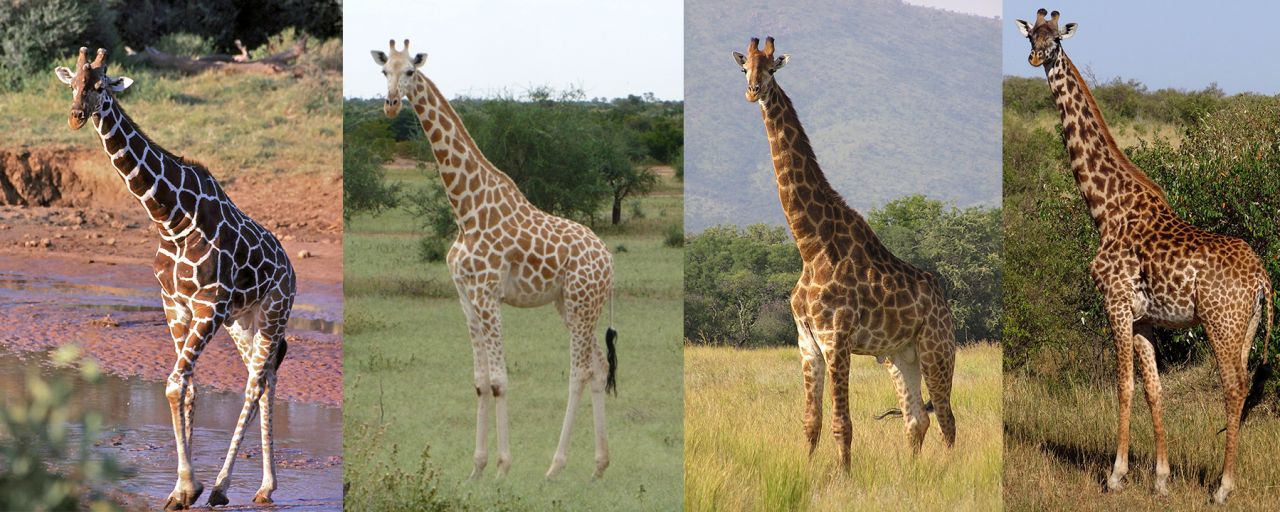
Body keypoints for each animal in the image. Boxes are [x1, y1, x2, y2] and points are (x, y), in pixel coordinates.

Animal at [54, 48, 296, 510]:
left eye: (101, 86)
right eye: (72, 83)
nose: (76, 116)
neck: (171, 219)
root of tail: (290, 268)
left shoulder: (209, 307)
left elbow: (172, 384)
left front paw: (188, 488)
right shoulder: (176, 305)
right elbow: (187, 388)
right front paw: (182, 488)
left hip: (273, 312)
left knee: (254, 384)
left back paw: (222, 487)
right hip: (244, 322)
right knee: (267, 378)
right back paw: (264, 487)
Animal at [371, 40, 618, 479]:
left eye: (411, 72)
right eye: (385, 72)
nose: (392, 104)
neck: (466, 211)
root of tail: (608, 259)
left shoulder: (488, 294)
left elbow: (500, 381)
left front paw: (503, 468)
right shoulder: (466, 297)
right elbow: (480, 381)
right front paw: (477, 468)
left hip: (581, 302)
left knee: (579, 372)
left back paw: (555, 467)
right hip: (571, 305)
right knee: (599, 367)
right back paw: (598, 467)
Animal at [732, 37, 957, 468]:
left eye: (771, 68)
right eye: (744, 68)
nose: (752, 92)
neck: (810, 246)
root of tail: (944, 301)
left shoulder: (836, 338)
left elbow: (842, 423)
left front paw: (843, 476)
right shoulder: (807, 342)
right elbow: (811, 421)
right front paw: (805, 472)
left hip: (937, 349)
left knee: (947, 419)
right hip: (898, 356)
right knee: (916, 418)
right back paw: (913, 473)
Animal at [1016, 10, 1275, 504]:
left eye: (1056, 39)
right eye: (1031, 35)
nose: (1035, 57)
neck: (1105, 209)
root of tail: (1262, 279)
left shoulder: (1115, 303)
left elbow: (1124, 386)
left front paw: (1115, 475)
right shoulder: (1144, 319)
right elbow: (1155, 390)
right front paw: (1160, 479)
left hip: (1221, 324)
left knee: (1233, 387)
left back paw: (1222, 487)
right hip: (1247, 328)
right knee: (1244, 384)